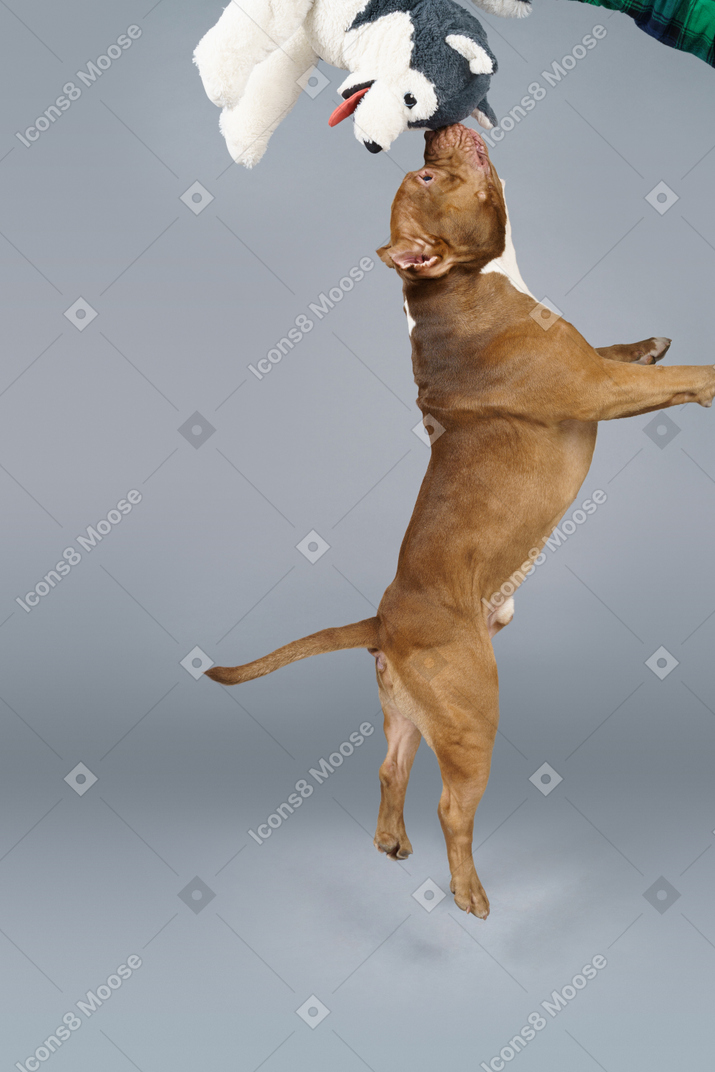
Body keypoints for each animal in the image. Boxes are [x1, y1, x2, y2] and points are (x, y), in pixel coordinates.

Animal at [206, 123, 715, 913]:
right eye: (423, 176)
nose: (430, 133)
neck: (450, 287)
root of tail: (382, 620)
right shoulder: (599, 389)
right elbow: (682, 378)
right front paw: (706, 376)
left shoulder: (591, 362)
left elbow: (625, 352)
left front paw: (650, 342)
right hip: (472, 716)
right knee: (452, 806)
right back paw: (468, 892)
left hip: (414, 711)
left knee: (391, 767)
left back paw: (391, 841)